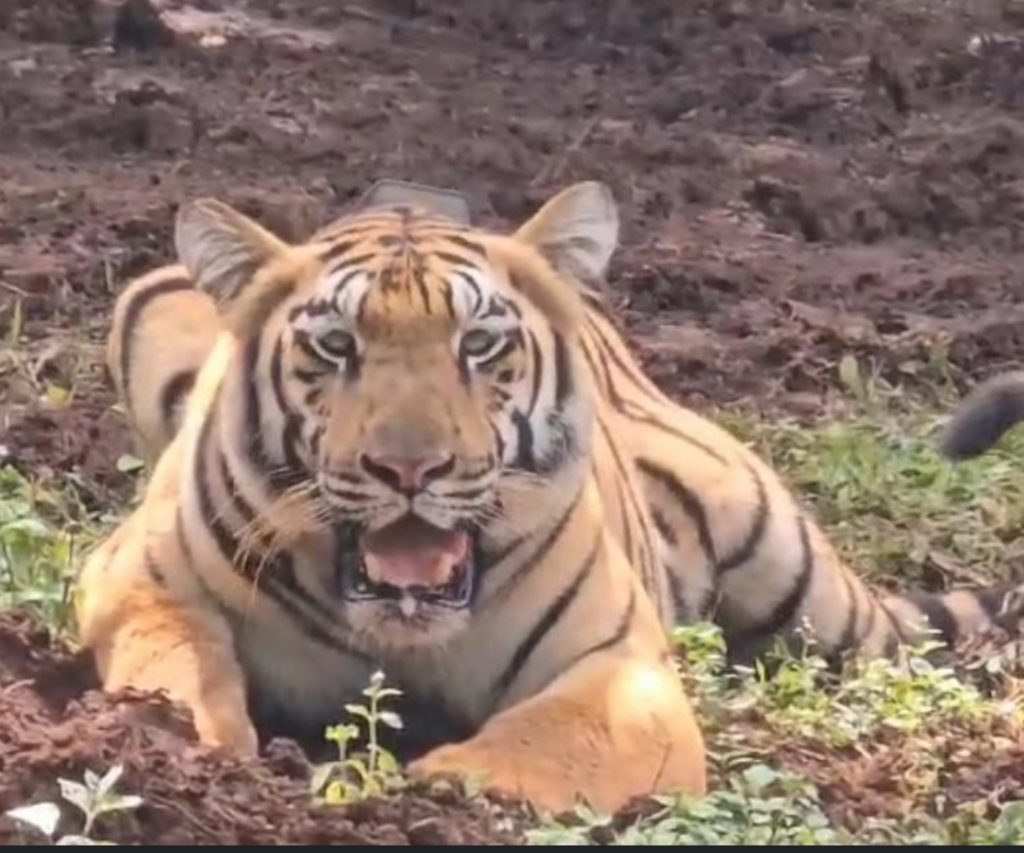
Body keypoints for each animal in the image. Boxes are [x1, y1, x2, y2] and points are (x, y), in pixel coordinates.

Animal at [77, 180, 1024, 811]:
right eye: (337, 345)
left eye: (480, 343)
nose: (409, 469)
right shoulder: (135, 574)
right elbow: (173, 665)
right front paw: (186, 753)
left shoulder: (621, 666)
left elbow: (541, 746)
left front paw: (423, 795)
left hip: (804, 581)